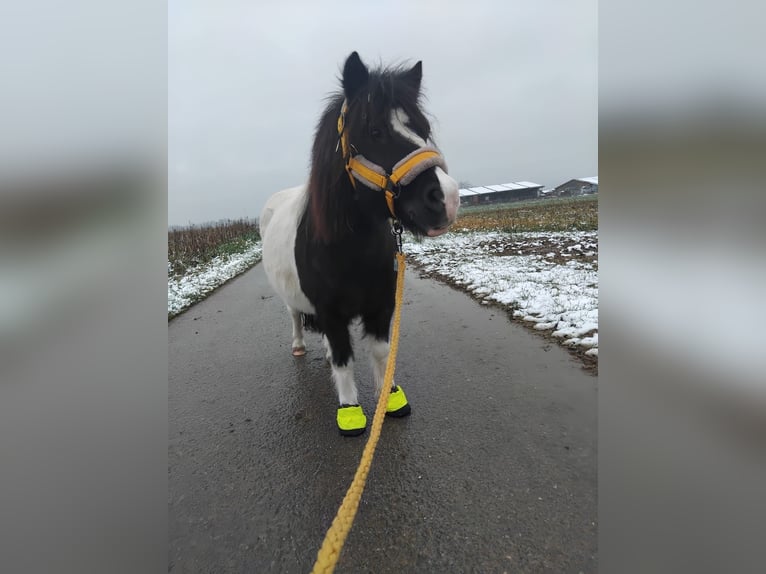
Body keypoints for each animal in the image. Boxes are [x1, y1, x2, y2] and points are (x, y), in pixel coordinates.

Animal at [260, 51, 460, 436]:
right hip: (291, 300)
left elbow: (380, 353)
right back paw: (298, 346)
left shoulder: (381, 306)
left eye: (423, 129)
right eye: (374, 131)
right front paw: (350, 412)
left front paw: (390, 398)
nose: (446, 198)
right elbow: (343, 358)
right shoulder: (330, 312)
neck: (348, 251)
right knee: (295, 318)